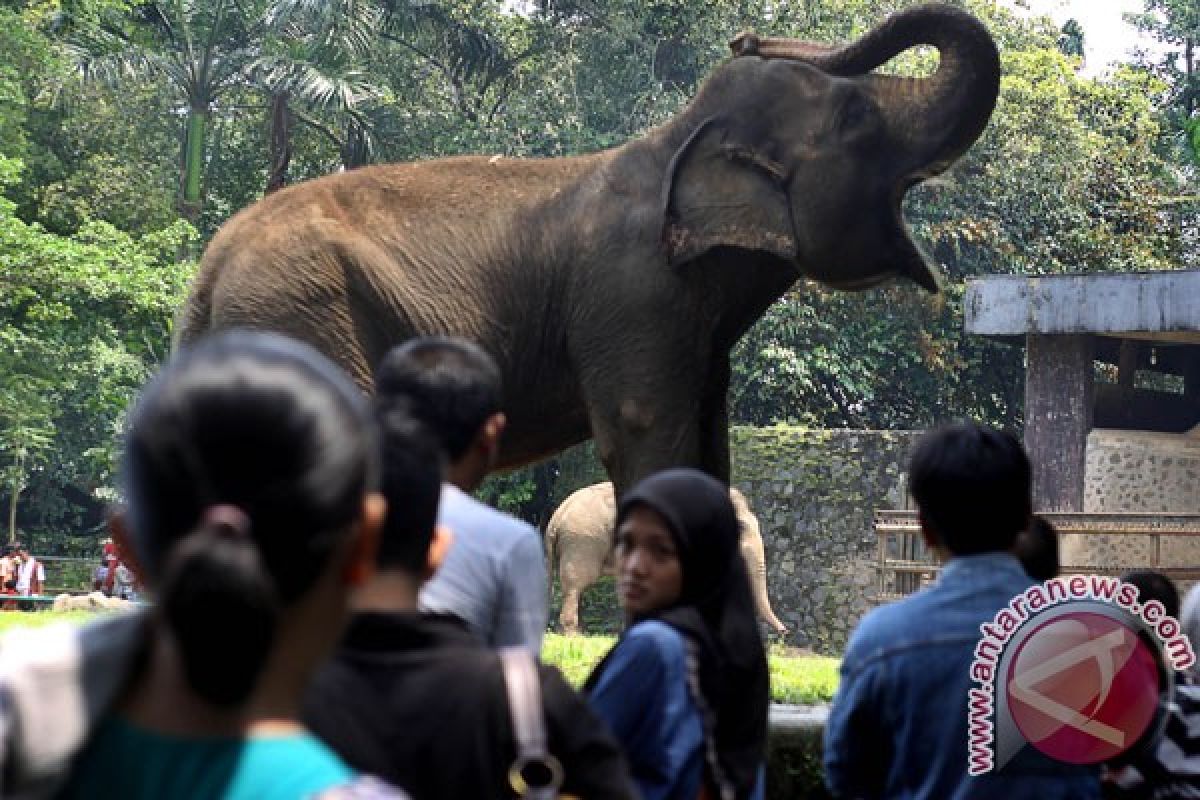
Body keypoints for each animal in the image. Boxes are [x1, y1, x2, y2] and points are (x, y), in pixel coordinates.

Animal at [177, 4, 998, 494]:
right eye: (858, 118)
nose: (744, 35)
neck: (673, 140)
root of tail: (212, 264)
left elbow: (709, 451)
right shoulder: (633, 296)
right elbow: (646, 436)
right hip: (305, 317)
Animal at [544, 482, 787, 638]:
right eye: (741, 528)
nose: (785, 632)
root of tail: (556, 517)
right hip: (583, 542)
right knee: (576, 583)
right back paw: (574, 637)